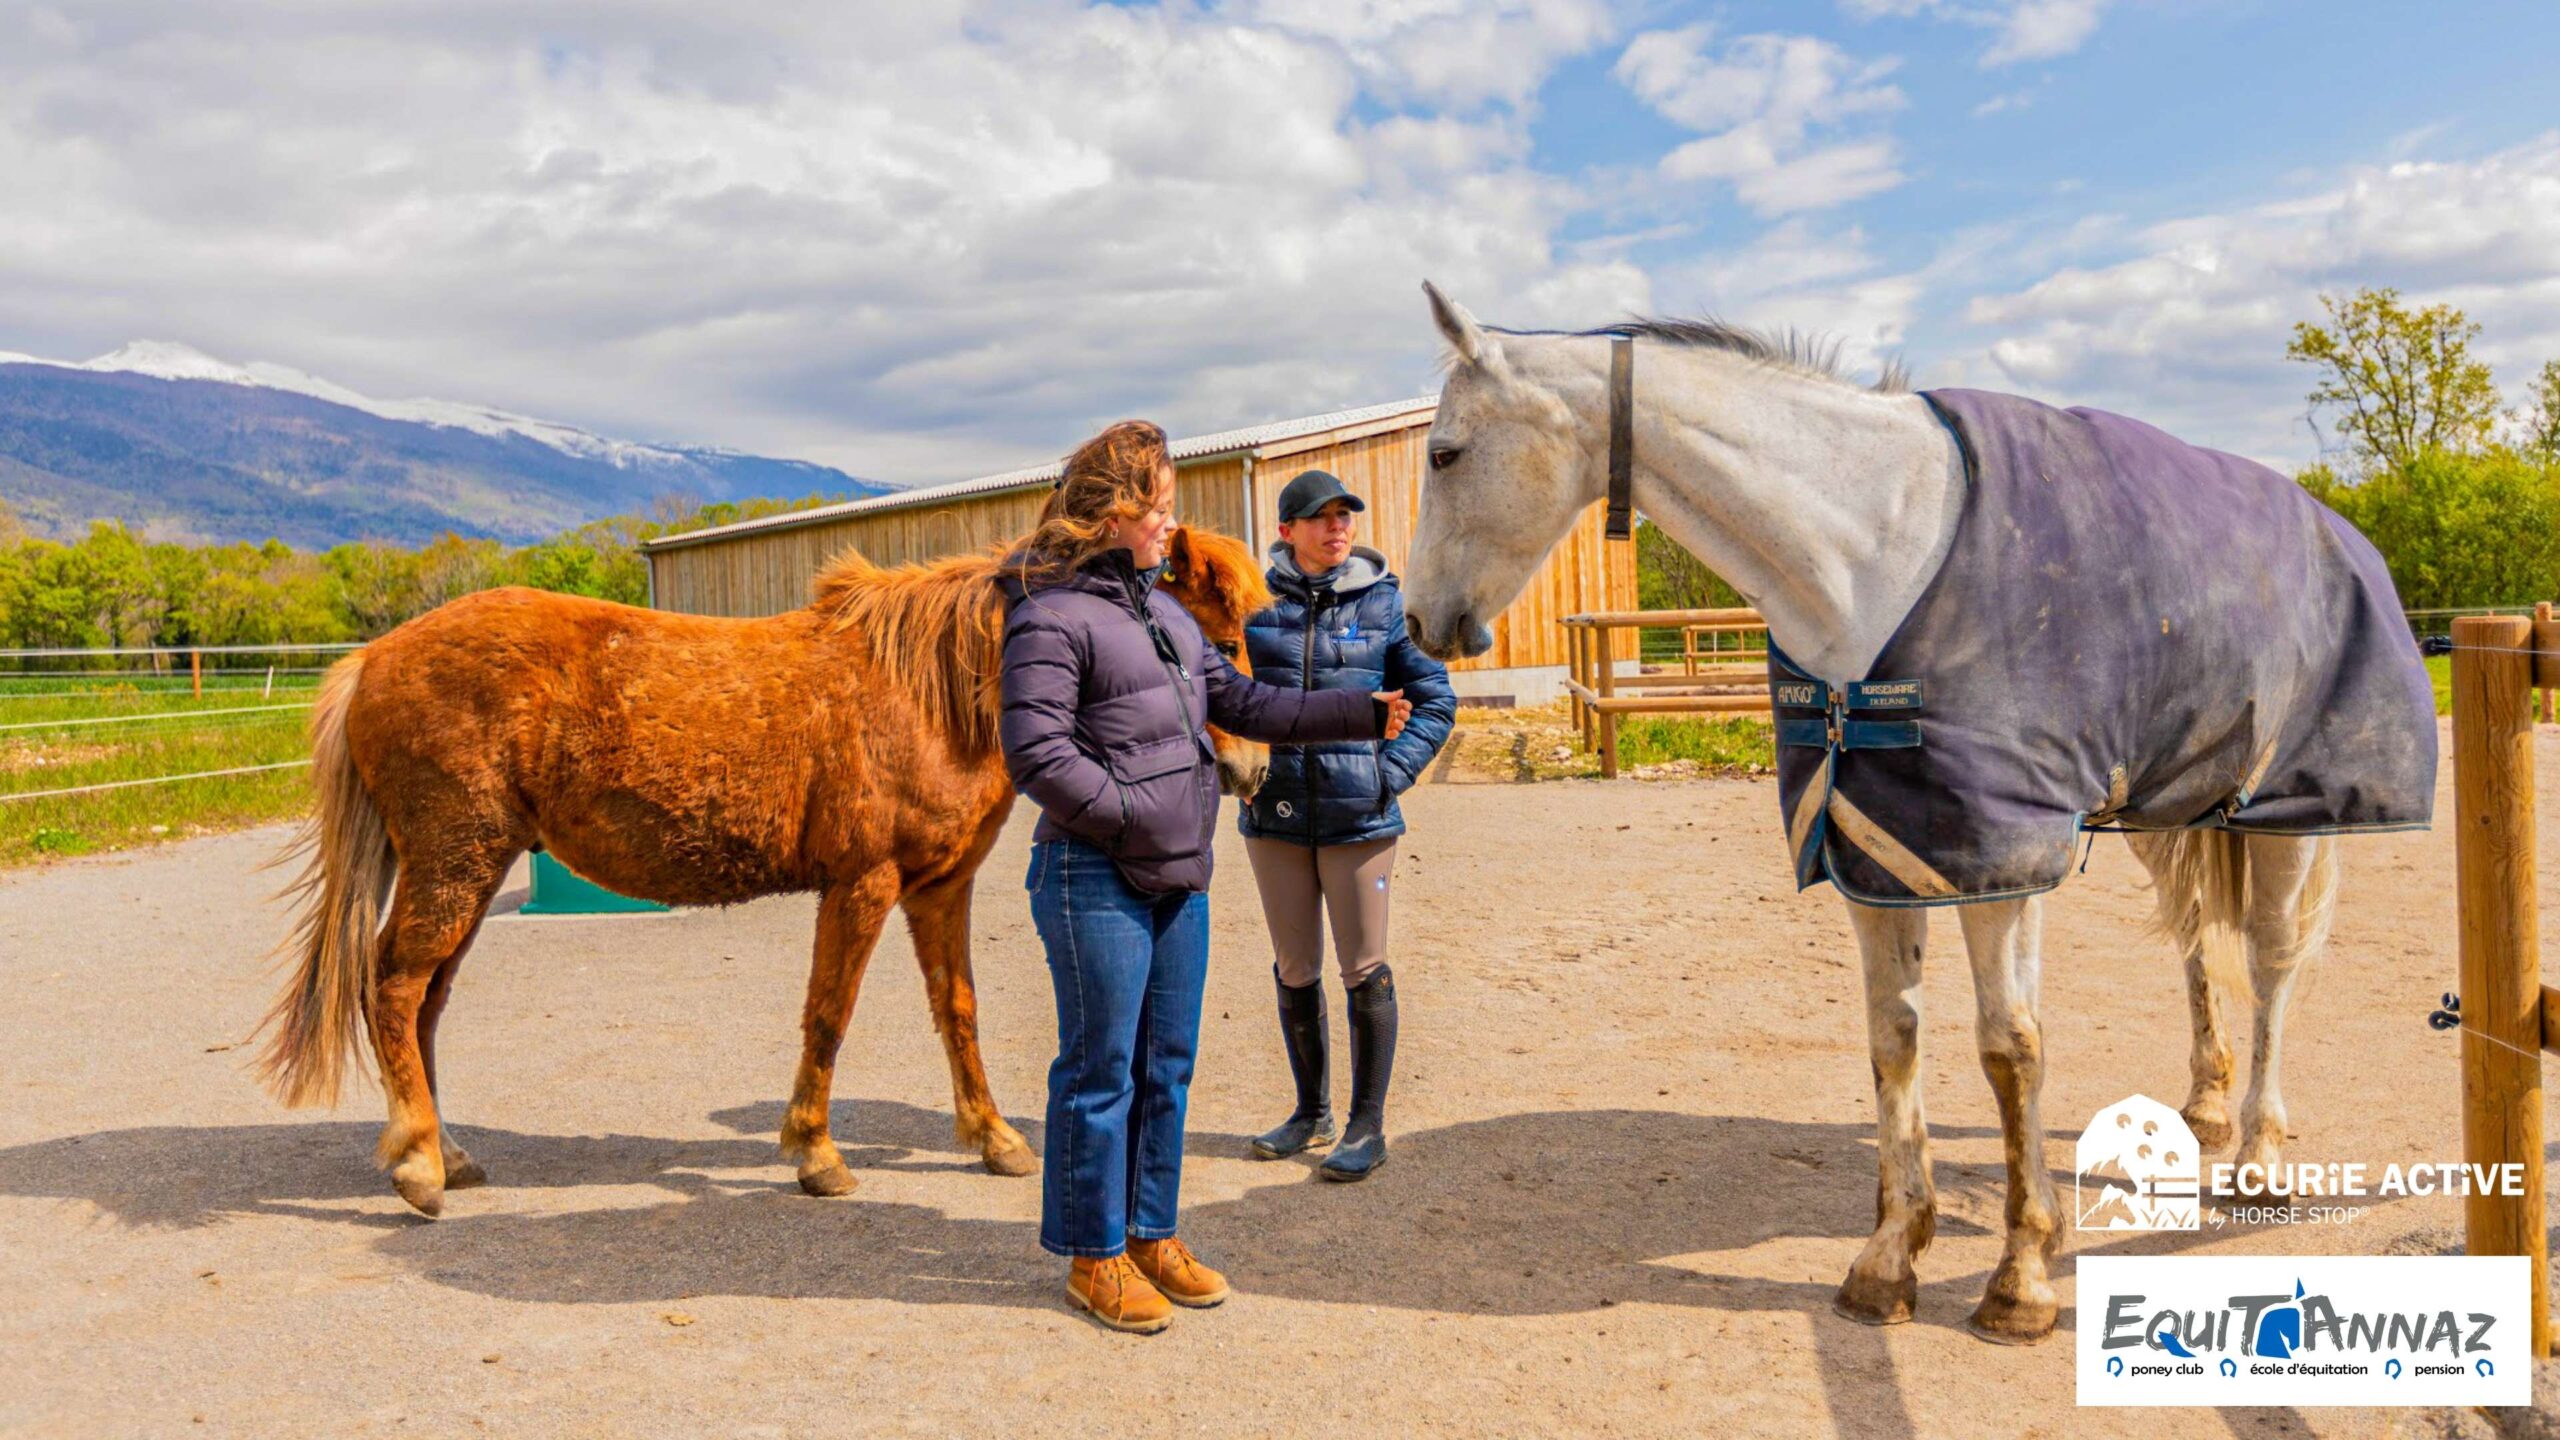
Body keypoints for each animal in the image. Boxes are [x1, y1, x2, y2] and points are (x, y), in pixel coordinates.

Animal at [249, 525, 1269, 1209]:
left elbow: (958, 1012)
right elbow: (829, 1015)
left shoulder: (941, 888)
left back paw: (445, 1151)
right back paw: (419, 1161)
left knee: (422, 1002)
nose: (1253, 771)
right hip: (452, 863)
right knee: (392, 987)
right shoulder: (862, 885)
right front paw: (815, 1153)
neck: (932, 685)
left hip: (469, 868)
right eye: (1211, 645)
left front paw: (992, 1138)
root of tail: (373, 659)